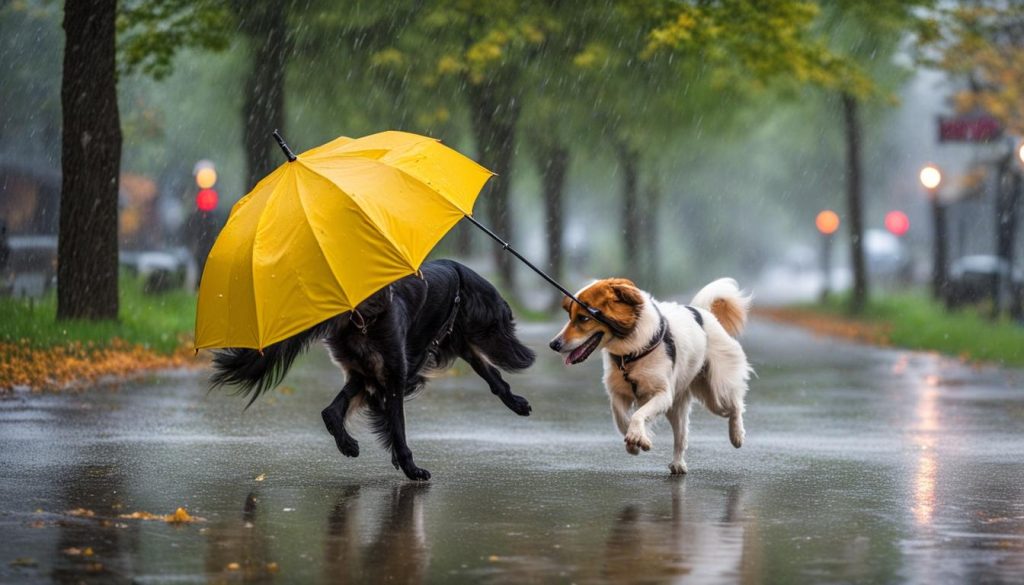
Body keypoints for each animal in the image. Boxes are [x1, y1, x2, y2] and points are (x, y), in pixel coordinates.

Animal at [208, 260, 536, 481]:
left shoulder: (382, 372)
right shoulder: (392, 377)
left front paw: (517, 402)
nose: (527, 356)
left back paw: (347, 443)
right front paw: (407, 464)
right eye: (506, 323)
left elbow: (492, 376)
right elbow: (397, 428)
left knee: (331, 410)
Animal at [552, 278, 753, 475]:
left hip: (717, 392)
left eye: (584, 318)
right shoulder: (618, 393)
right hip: (679, 405)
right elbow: (621, 419)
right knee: (681, 437)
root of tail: (703, 313)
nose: (553, 344)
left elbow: (638, 414)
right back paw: (678, 464)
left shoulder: (663, 394)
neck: (629, 353)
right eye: (570, 316)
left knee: (735, 405)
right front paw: (637, 442)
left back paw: (737, 435)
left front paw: (637, 437)